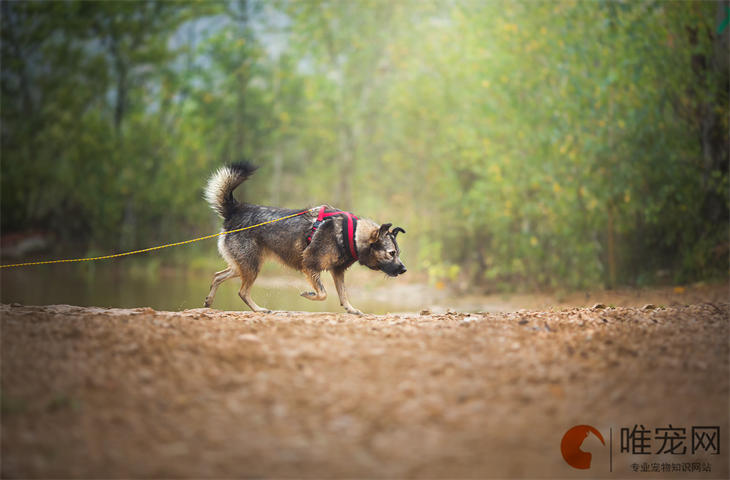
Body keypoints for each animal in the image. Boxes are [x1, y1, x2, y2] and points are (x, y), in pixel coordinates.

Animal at [200, 162, 404, 316]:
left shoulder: (337, 272)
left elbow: (343, 294)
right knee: (242, 291)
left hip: (244, 265)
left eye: (398, 253)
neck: (351, 234)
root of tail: (236, 209)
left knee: (218, 276)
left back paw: (209, 301)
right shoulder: (310, 266)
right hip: (251, 266)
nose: (404, 269)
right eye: (391, 253)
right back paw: (259, 309)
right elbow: (323, 294)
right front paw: (309, 294)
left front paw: (351, 309)